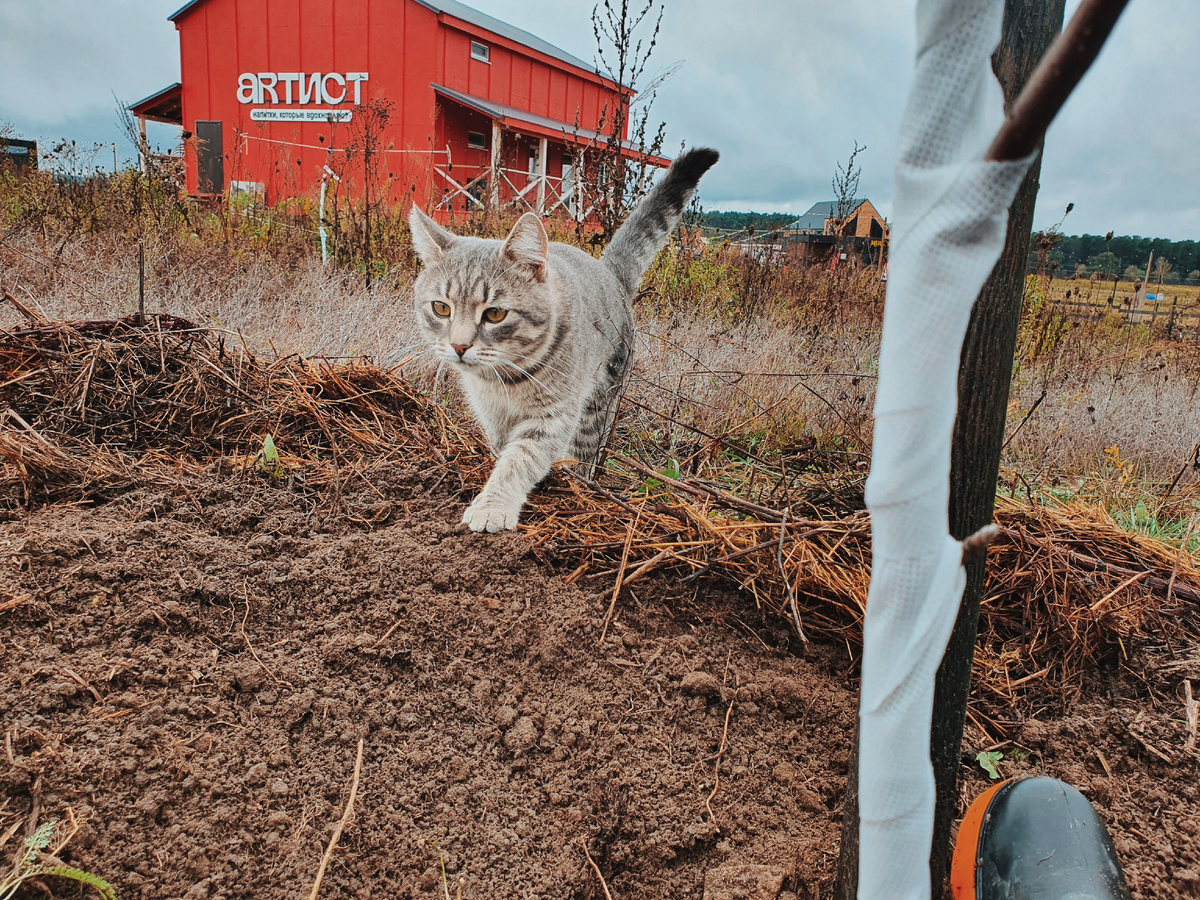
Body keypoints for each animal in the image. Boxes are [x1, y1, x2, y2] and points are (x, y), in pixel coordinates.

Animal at [408, 144, 715, 532]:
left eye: (494, 314)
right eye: (441, 308)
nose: (459, 346)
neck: (503, 381)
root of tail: (608, 270)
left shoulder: (552, 417)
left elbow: (518, 460)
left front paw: (494, 504)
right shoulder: (493, 417)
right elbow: (503, 451)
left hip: (599, 403)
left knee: (587, 452)